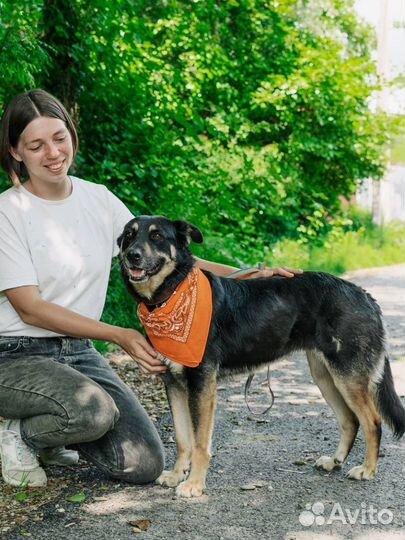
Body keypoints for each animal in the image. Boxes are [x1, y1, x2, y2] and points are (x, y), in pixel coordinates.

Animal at [117, 215, 404, 498]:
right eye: (129, 236)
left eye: (156, 236)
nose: (132, 255)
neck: (173, 293)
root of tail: (365, 296)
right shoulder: (174, 384)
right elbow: (182, 439)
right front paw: (178, 475)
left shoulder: (202, 386)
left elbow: (199, 442)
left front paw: (195, 484)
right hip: (325, 376)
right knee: (350, 420)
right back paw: (335, 461)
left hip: (347, 377)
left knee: (372, 421)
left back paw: (367, 469)